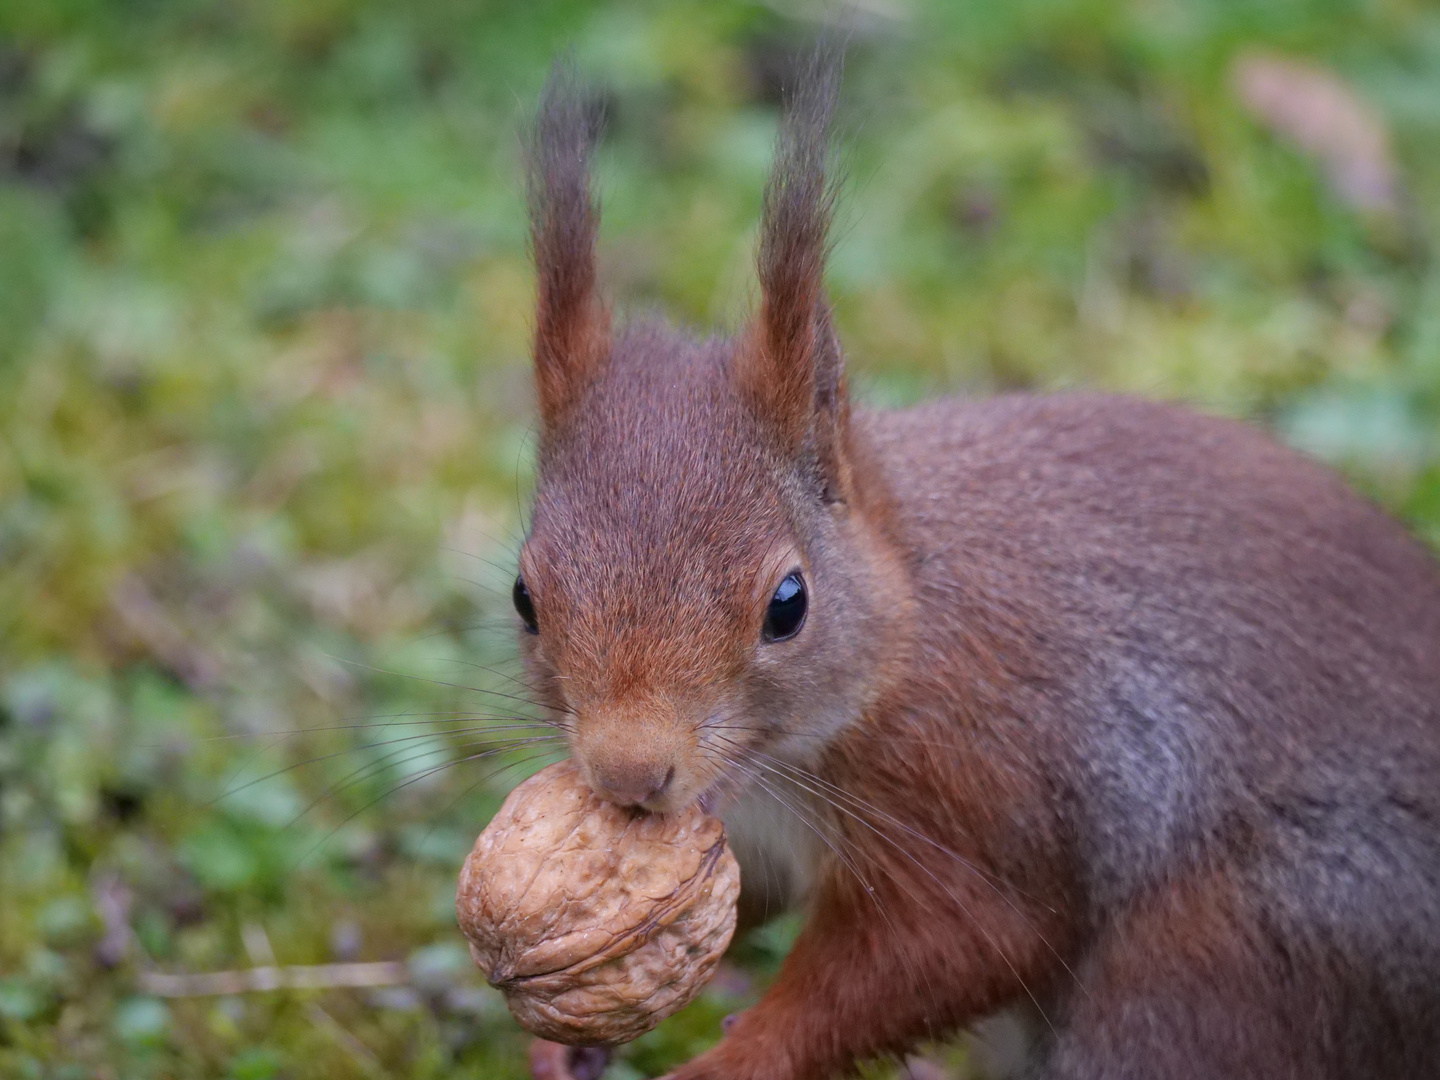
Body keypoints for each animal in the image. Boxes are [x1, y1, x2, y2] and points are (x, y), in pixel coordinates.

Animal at [506, 55, 1440, 1077]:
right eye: (524, 597)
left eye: (789, 604)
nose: (628, 775)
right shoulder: (745, 833)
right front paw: (560, 1044)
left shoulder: (971, 782)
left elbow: (964, 937)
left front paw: (729, 1062)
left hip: (1232, 955)